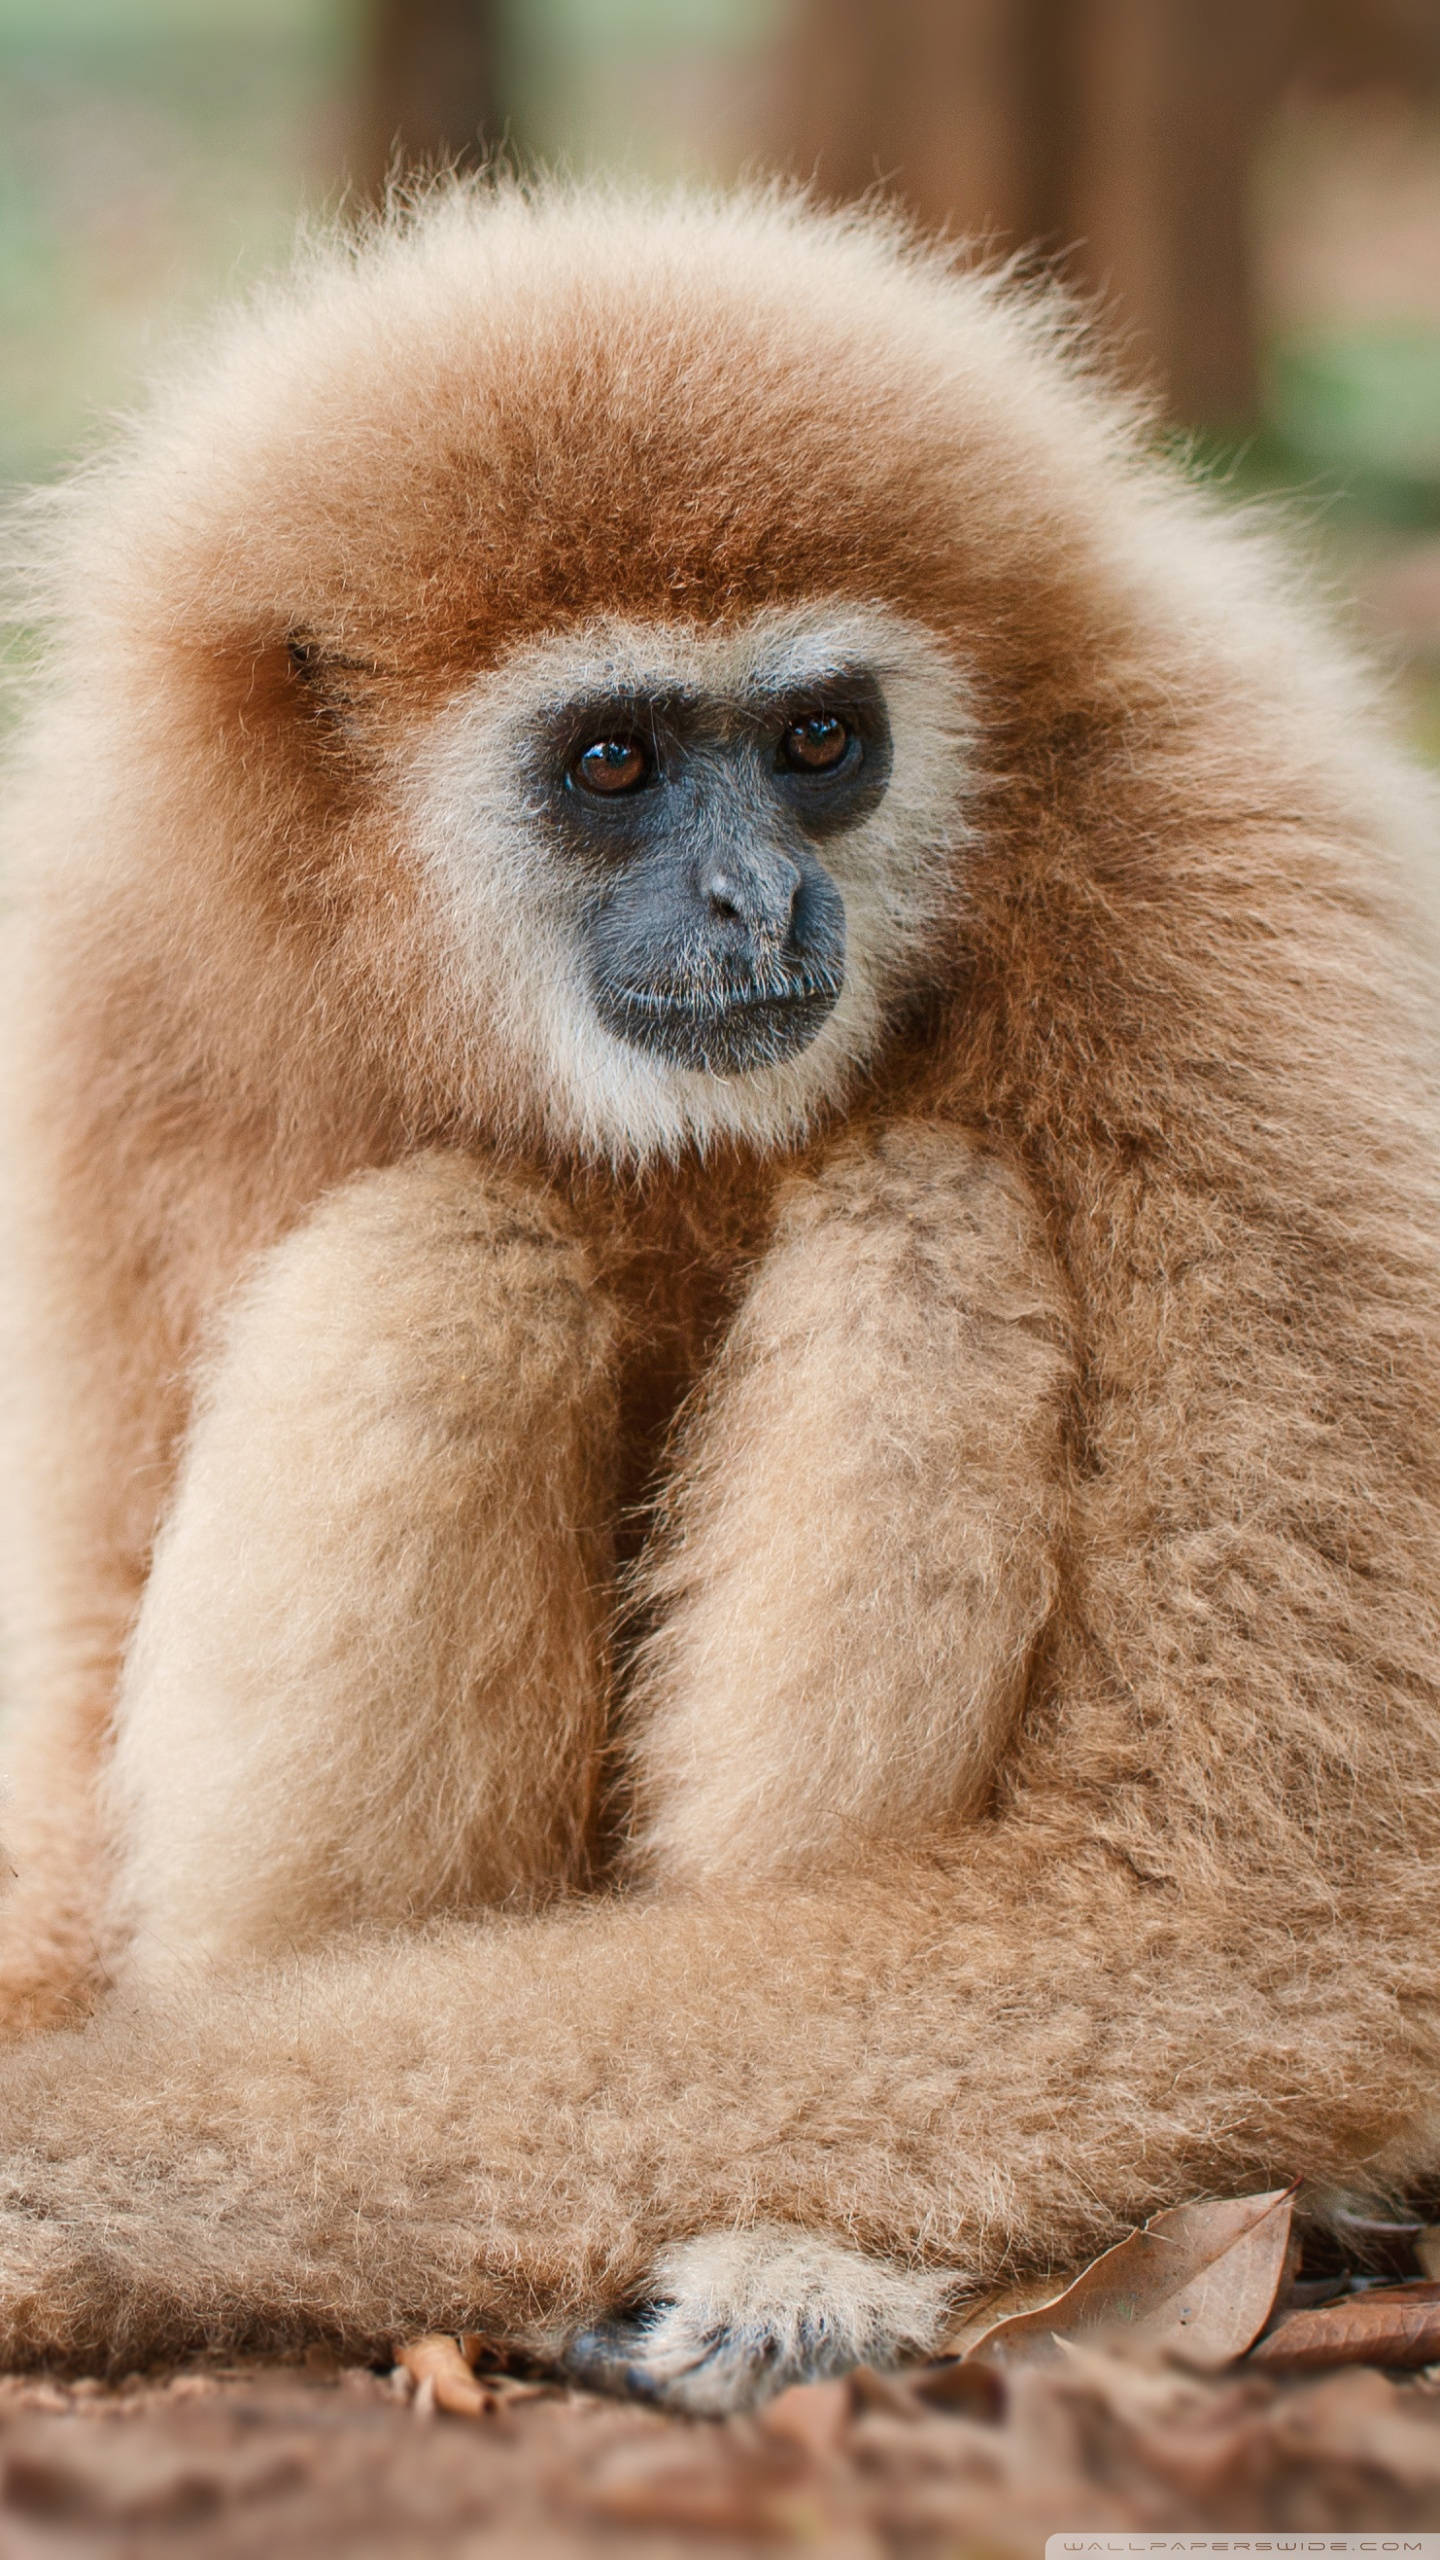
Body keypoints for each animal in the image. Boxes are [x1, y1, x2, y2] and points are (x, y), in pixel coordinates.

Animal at [0, 176, 1437, 2414]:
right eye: (612, 760)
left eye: (821, 740)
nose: (759, 895)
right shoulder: (111, 961)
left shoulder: (1227, 878)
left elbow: (1270, 1898)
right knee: (451, 1260)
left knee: (920, 1223)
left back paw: (804, 2262)